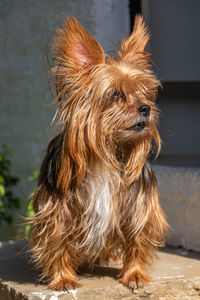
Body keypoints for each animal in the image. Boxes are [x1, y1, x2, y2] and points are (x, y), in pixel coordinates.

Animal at [29, 15, 167, 290]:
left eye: (144, 92)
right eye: (115, 93)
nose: (146, 108)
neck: (108, 150)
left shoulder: (139, 204)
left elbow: (137, 236)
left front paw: (134, 274)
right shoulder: (57, 208)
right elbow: (57, 240)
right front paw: (63, 277)